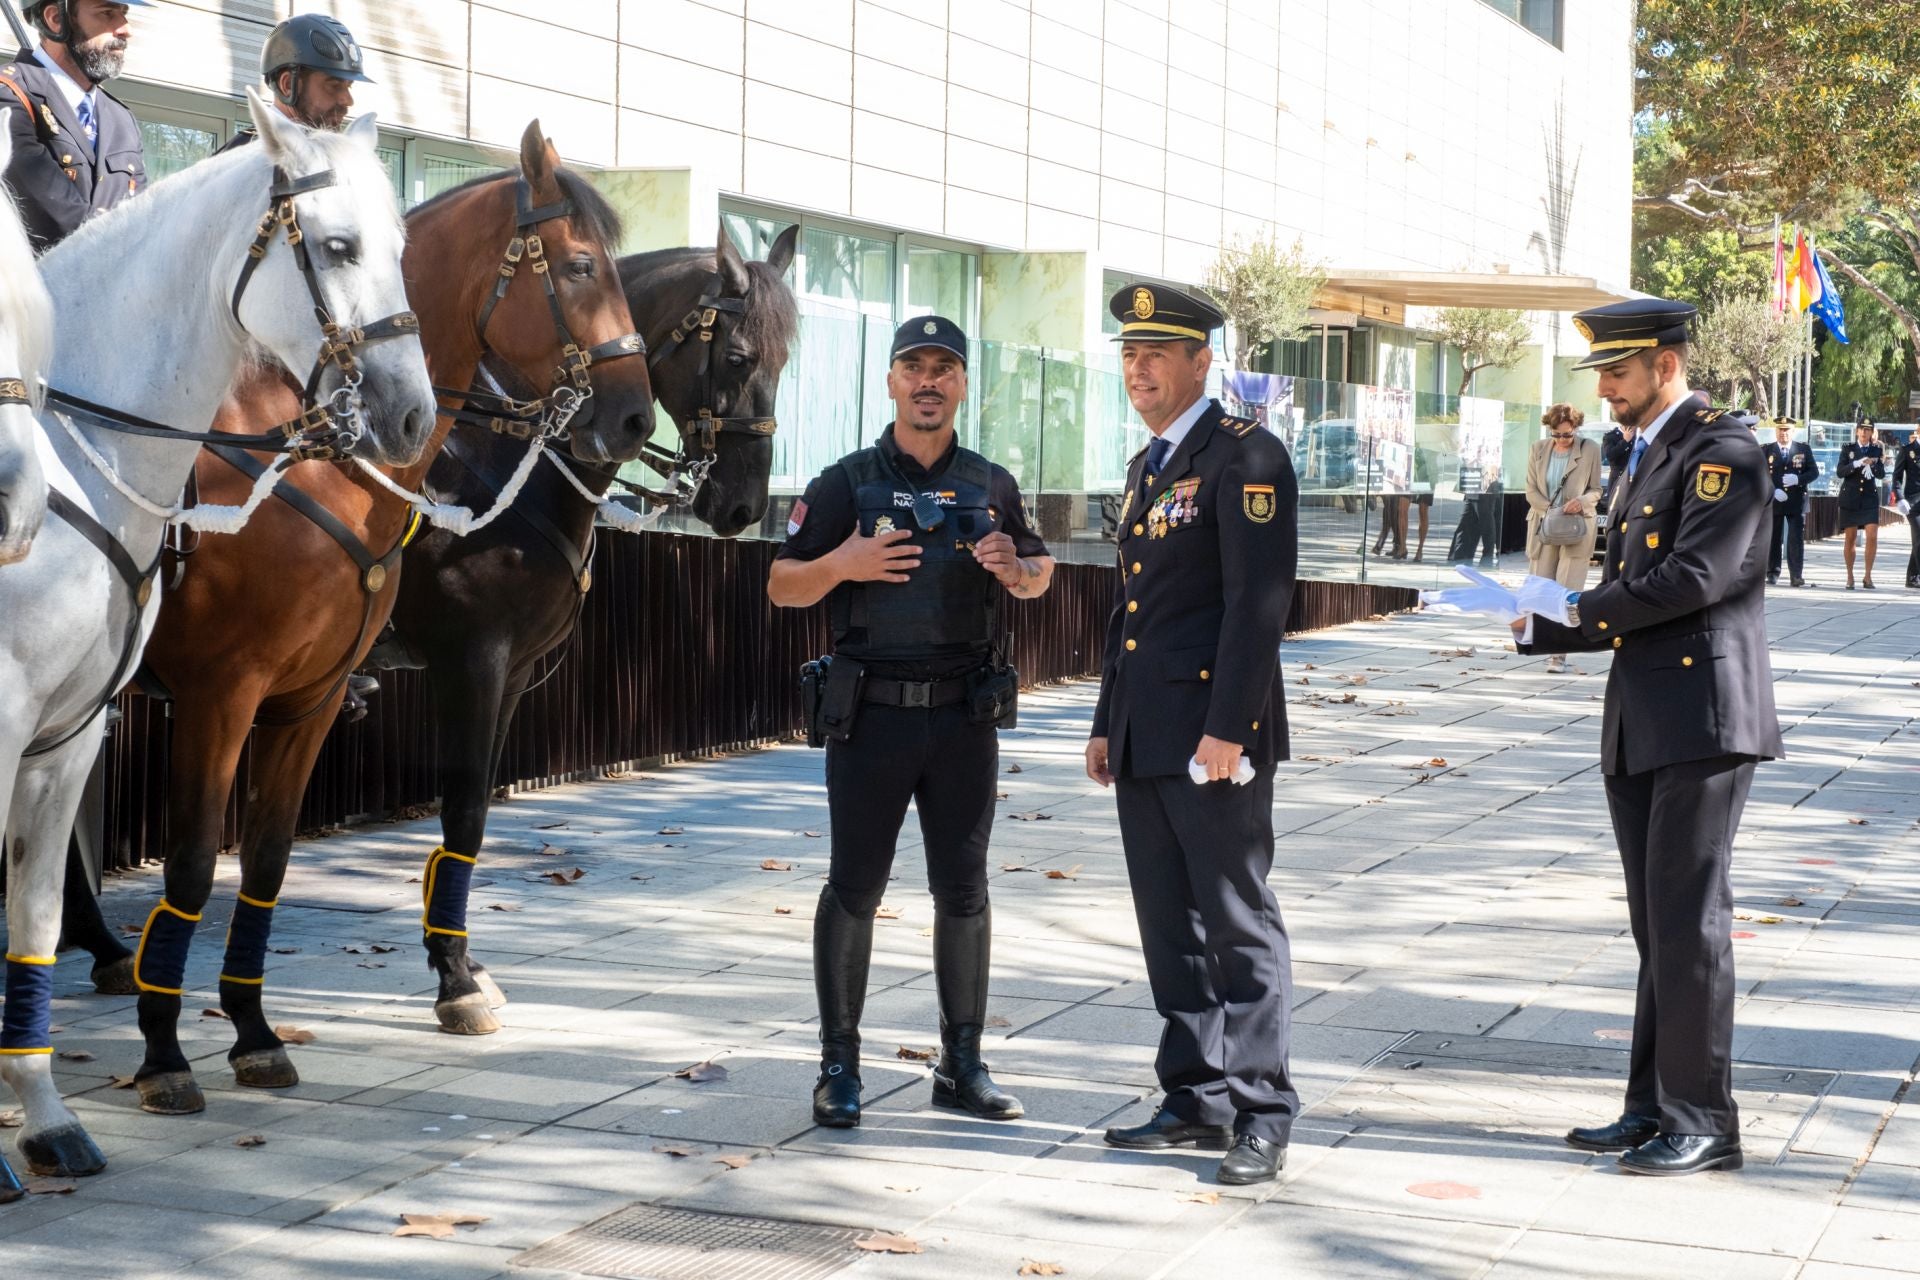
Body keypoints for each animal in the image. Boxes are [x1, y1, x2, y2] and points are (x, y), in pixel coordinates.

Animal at [0, 87, 435, 1182]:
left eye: (403, 245)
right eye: (337, 244)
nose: (413, 415)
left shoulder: (87, 728)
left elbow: (45, 906)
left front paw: (49, 1113)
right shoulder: (203, 696)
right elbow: (193, 860)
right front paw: (166, 1057)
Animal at [125, 122, 660, 1120]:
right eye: (578, 266)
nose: (635, 417)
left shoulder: (325, 693)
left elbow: (273, 855)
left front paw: (254, 1032)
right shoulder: (230, 692)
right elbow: (194, 861)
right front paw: (166, 1051)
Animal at [366, 220, 794, 1036]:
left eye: (785, 362)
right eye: (737, 358)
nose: (744, 507)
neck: (510, 454)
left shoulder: (511, 674)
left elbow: (472, 817)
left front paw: (458, 962)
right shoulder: (472, 662)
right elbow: (462, 810)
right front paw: (455, 981)